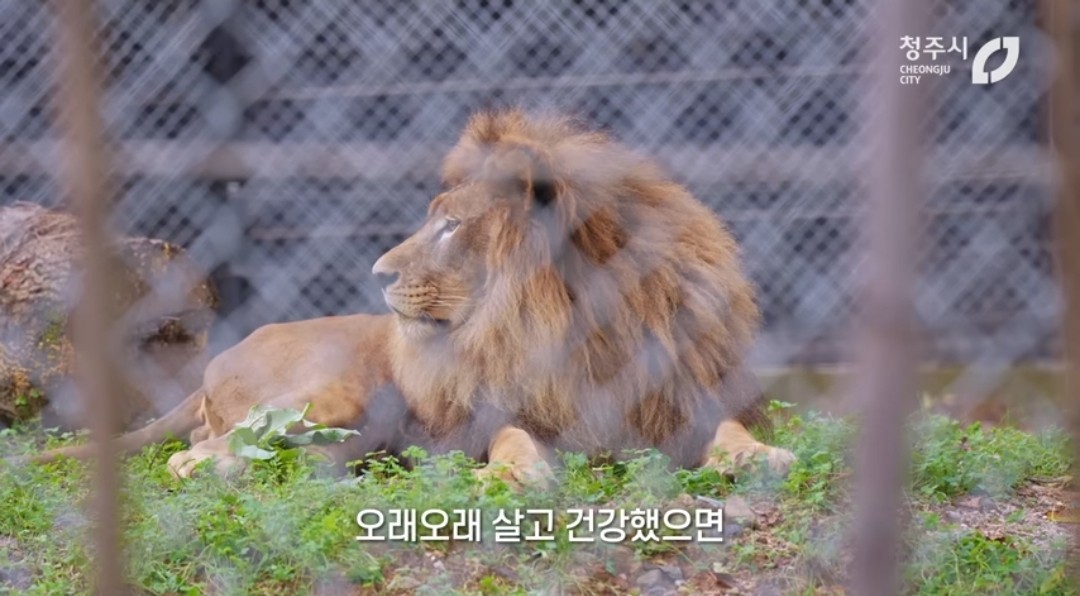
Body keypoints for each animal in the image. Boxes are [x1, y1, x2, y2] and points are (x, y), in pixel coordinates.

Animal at [27, 109, 794, 484]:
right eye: (434, 217)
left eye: (451, 225)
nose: (377, 271)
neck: (588, 331)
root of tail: (216, 359)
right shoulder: (497, 414)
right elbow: (514, 438)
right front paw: (516, 475)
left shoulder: (682, 404)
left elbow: (729, 431)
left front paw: (763, 457)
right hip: (340, 391)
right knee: (210, 448)